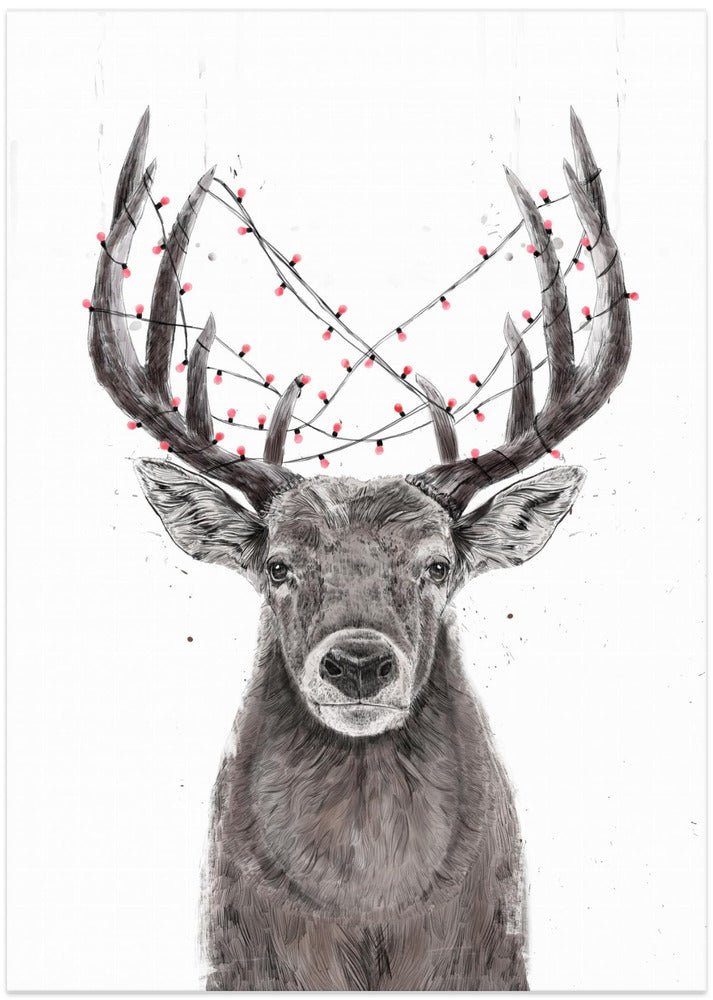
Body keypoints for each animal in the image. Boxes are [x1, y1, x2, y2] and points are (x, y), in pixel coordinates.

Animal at [87, 108, 631, 991]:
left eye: (438, 566)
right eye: (278, 566)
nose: (357, 663)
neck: (370, 922)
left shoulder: (495, 958)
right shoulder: (236, 961)